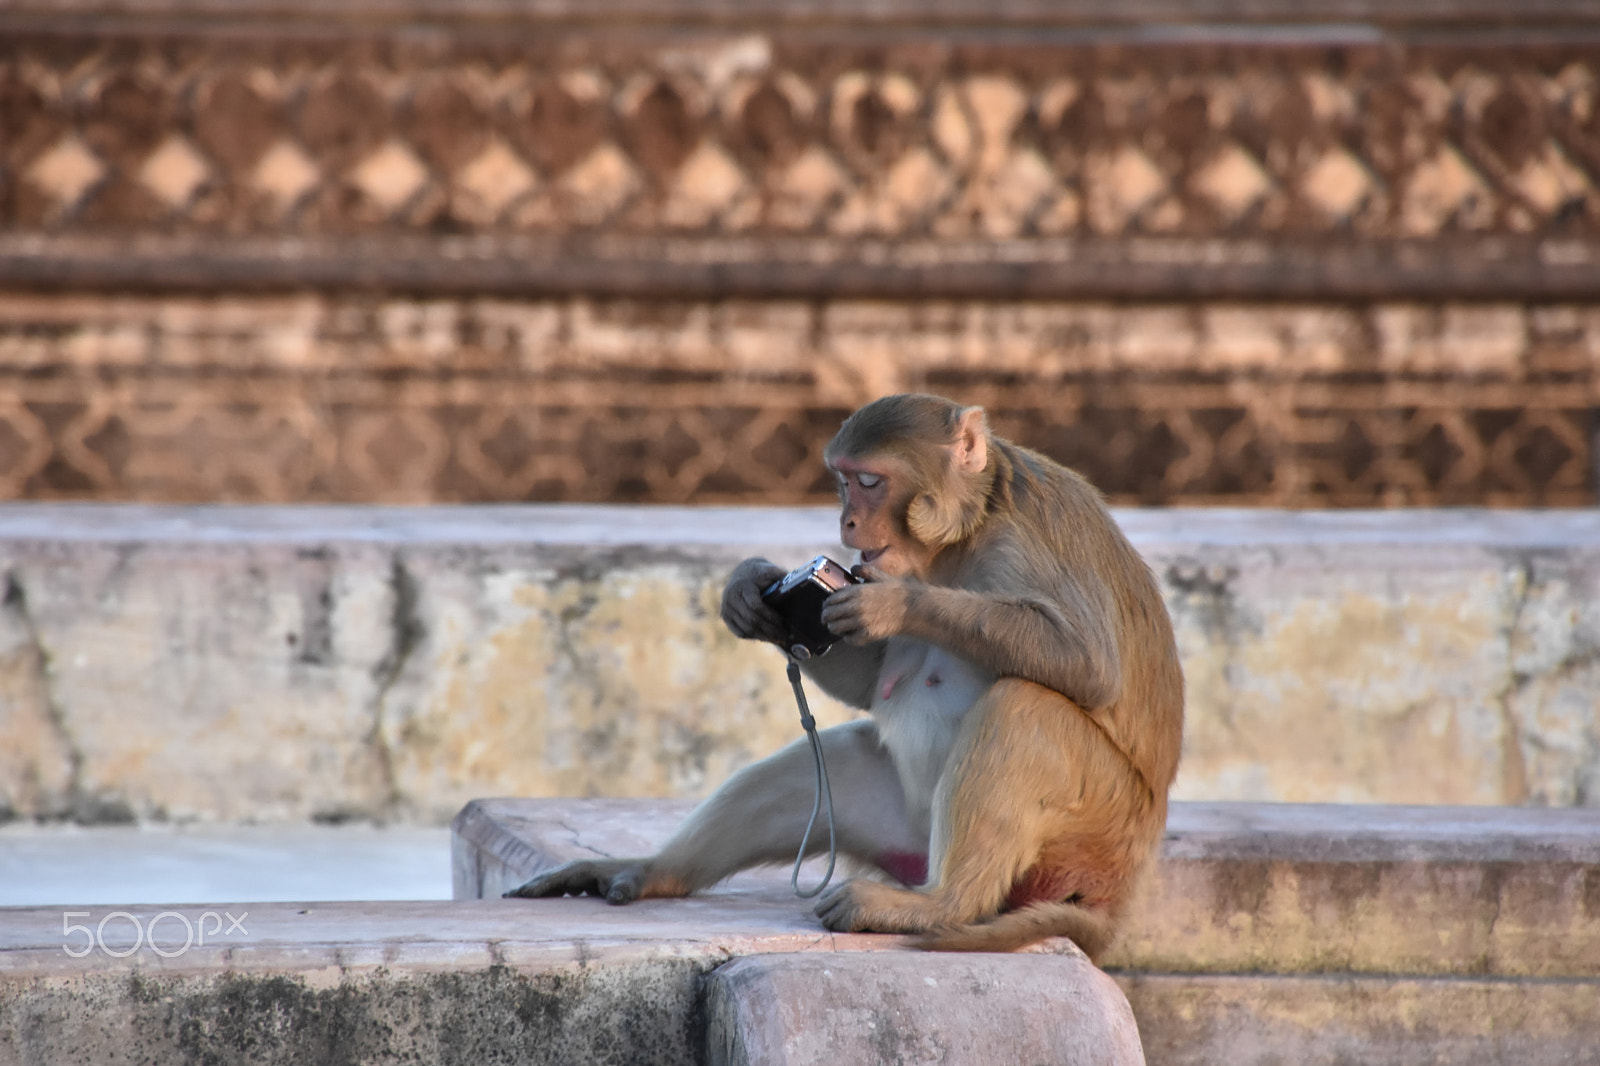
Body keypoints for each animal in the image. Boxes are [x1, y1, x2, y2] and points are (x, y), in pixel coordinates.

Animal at [507, 393, 1184, 959]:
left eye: (868, 481)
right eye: (840, 481)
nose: (846, 526)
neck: (962, 536)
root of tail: (1119, 891)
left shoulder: (1027, 535)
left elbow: (1089, 663)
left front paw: (894, 605)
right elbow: (868, 681)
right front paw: (751, 591)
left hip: (1096, 830)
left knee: (1026, 704)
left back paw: (940, 907)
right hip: (907, 827)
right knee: (829, 764)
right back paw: (654, 872)